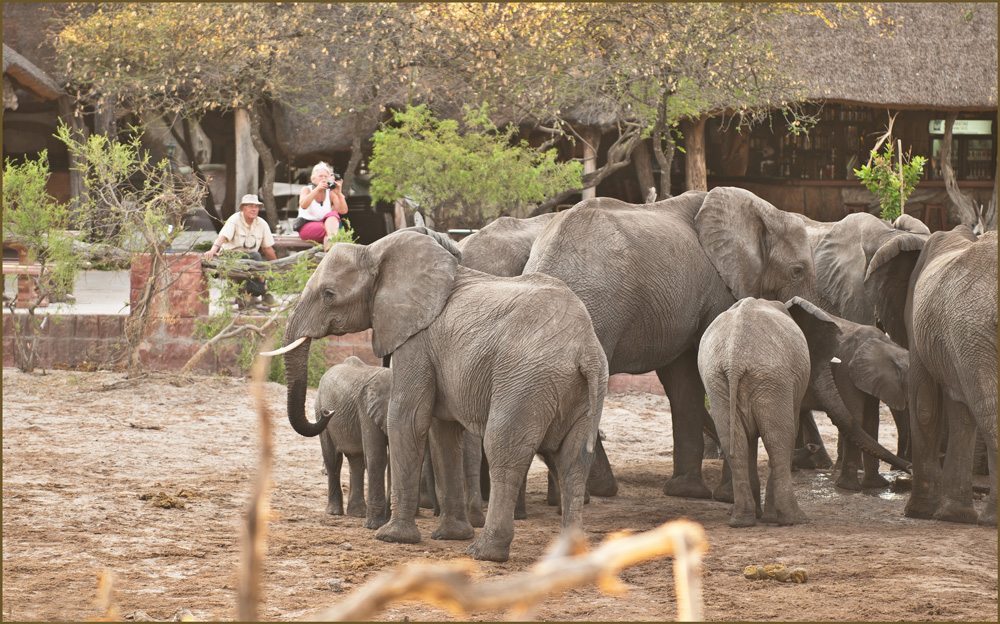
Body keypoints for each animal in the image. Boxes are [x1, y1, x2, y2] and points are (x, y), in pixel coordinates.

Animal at [524, 185, 820, 498]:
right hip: (598, 309)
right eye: (797, 270)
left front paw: (686, 492)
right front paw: (726, 496)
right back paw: (597, 489)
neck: (764, 210)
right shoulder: (718, 288)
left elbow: (683, 380)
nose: (811, 449)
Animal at [696, 298, 812, 528]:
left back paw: (741, 520)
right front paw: (771, 518)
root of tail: (734, 358)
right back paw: (794, 519)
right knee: (779, 440)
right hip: (773, 378)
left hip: (718, 381)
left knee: (733, 441)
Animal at [864, 227, 996, 524]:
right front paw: (954, 516)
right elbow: (960, 413)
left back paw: (990, 519)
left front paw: (919, 512)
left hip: (975, 329)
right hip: (975, 334)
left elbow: (924, 405)